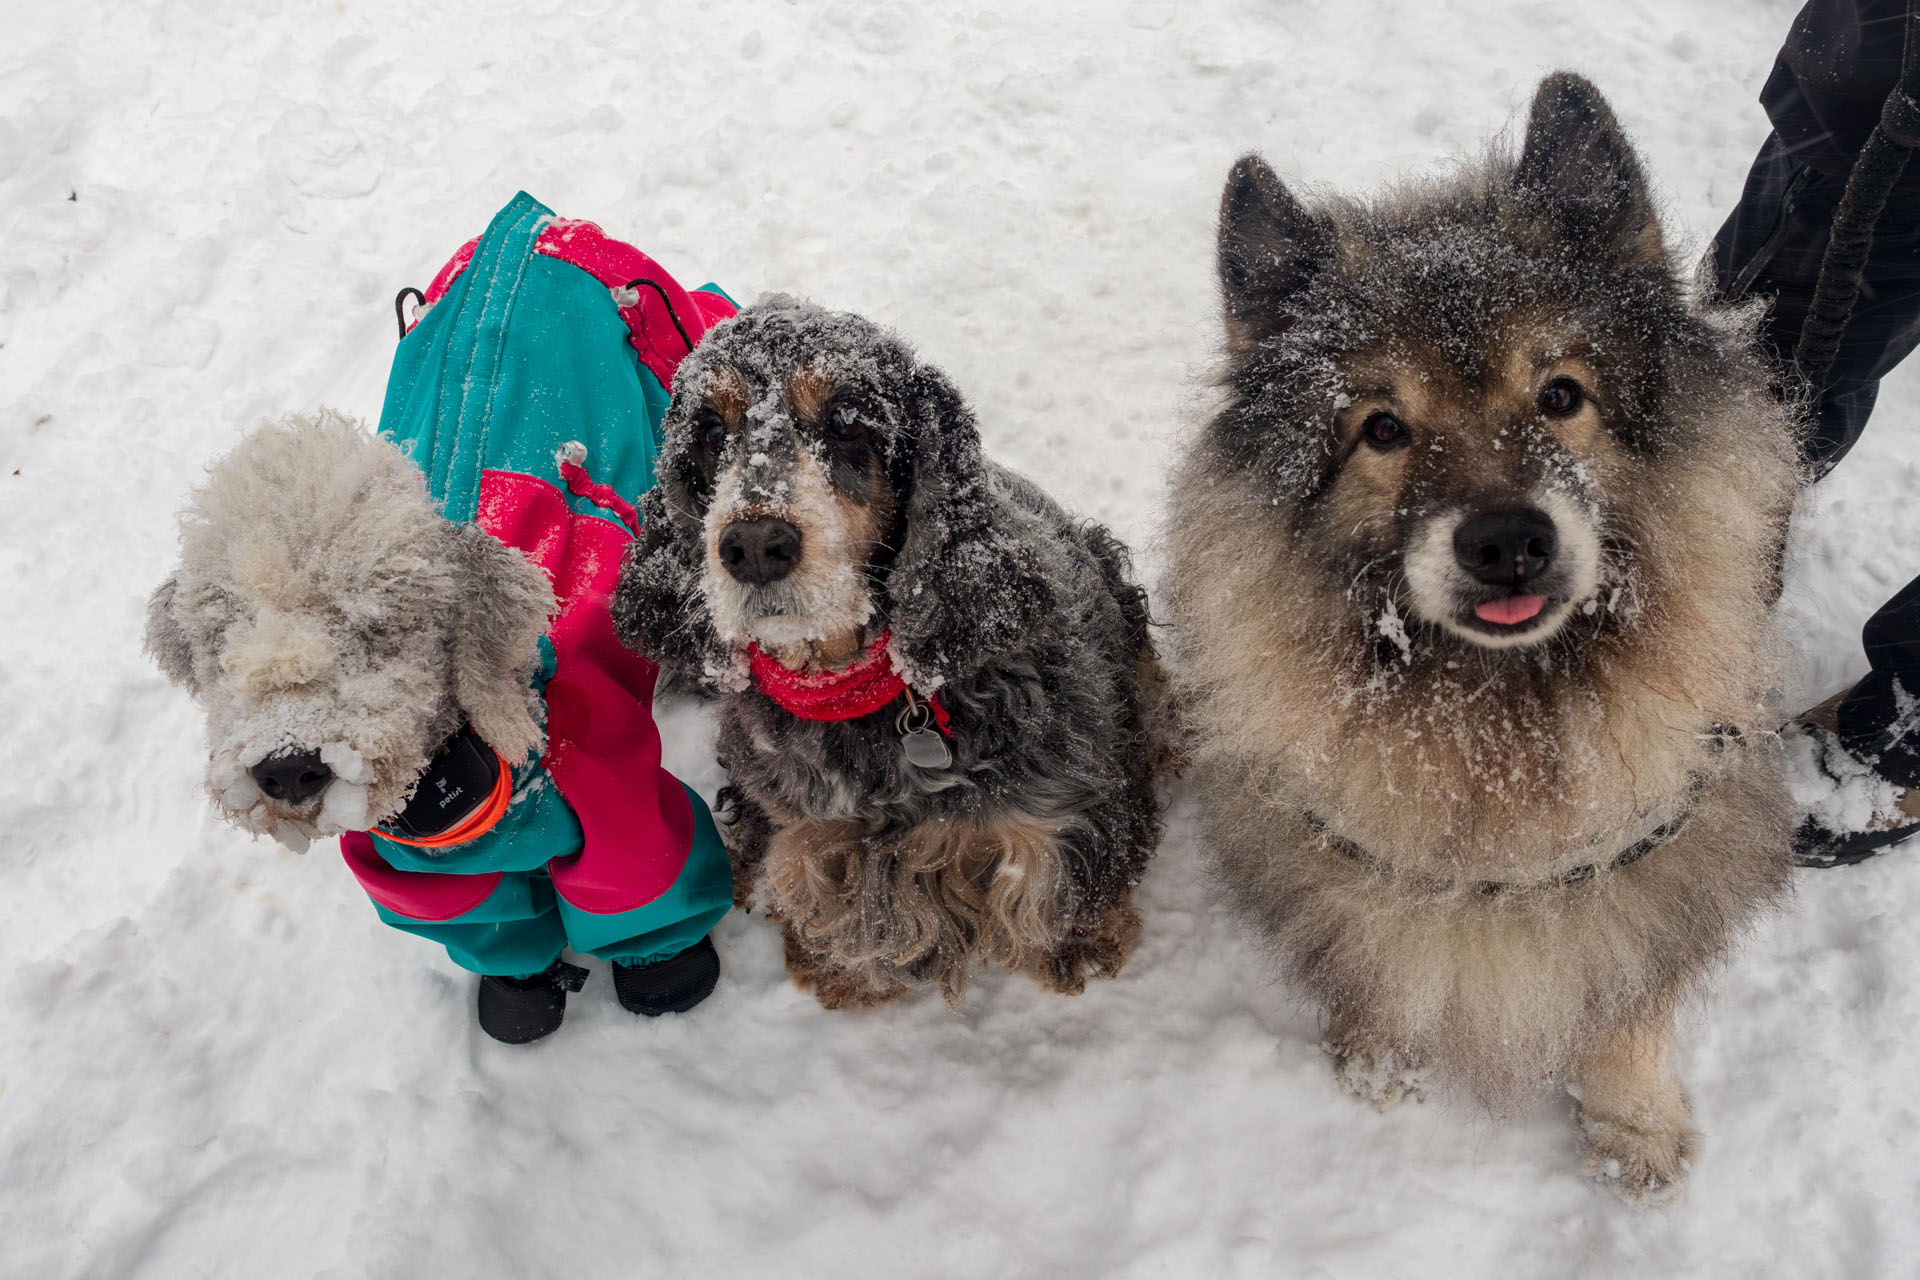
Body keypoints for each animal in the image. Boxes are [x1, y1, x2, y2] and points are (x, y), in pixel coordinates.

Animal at [614, 297, 1159, 1013]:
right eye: (708, 432)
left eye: (846, 422)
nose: (754, 545)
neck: (863, 689)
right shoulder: (811, 835)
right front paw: (837, 971)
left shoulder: (1061, 817)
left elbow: (1055, 885)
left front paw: (1077, 950)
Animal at [1159, 75, 1804, 1205]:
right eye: (1381, 427)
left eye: (1560, 395)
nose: (1508, 541)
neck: (1496, 714)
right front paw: (1382, 1056)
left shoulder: (1659, 844)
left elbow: (1630, 1003)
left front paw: (1634, 1123)